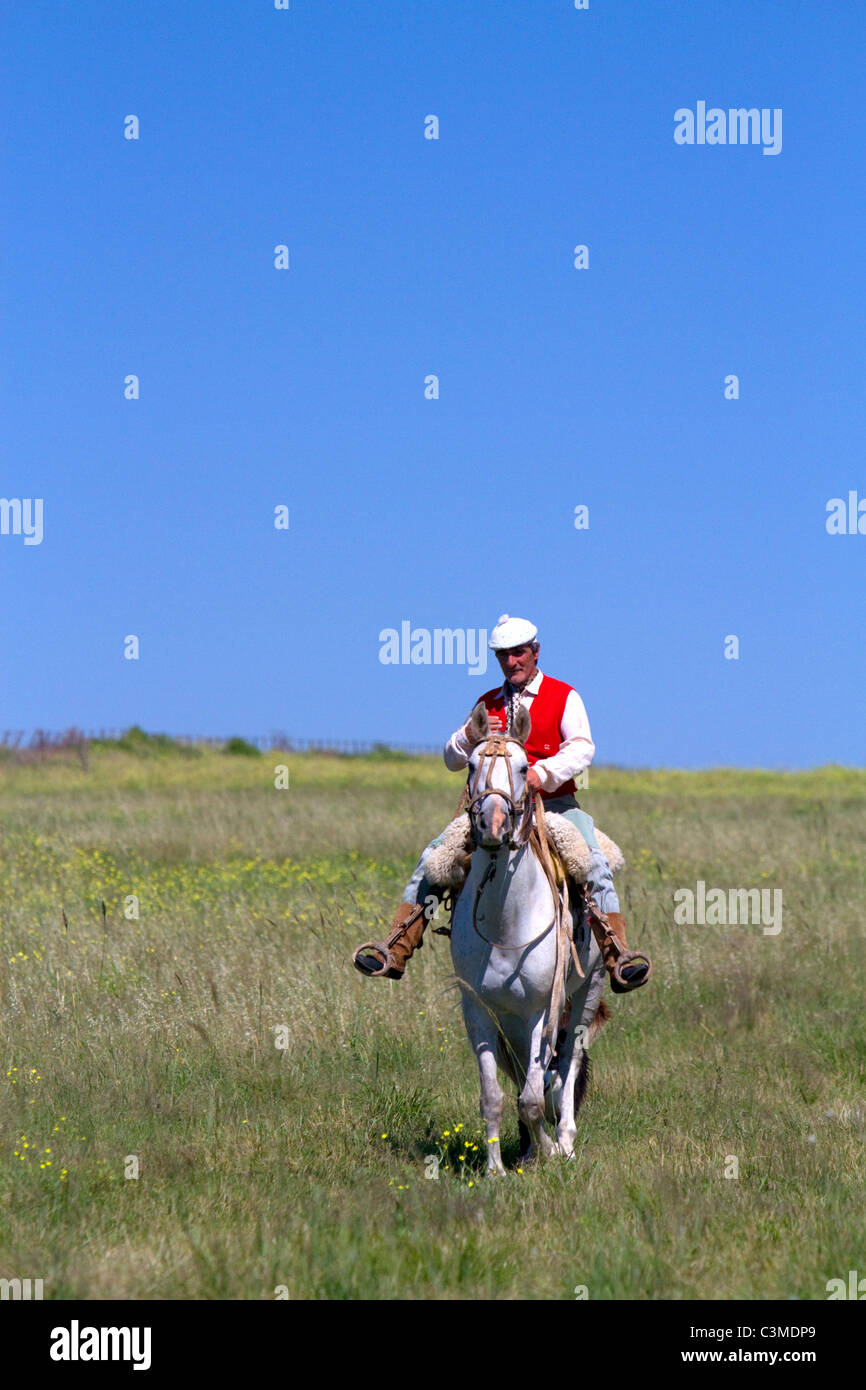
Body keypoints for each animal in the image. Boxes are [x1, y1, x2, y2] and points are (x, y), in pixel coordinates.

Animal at [450, 706, 606, 1173]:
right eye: (471, 765)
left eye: (523, 768)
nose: (493, 826)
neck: (506, 920)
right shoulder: (479, 1010)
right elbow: (495, 1095)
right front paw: (497, 1168)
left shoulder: (541, 1012)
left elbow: (535, 1096)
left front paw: (549, 1149)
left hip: (587, 991)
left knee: (569, 1060)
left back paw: (565, 1140)